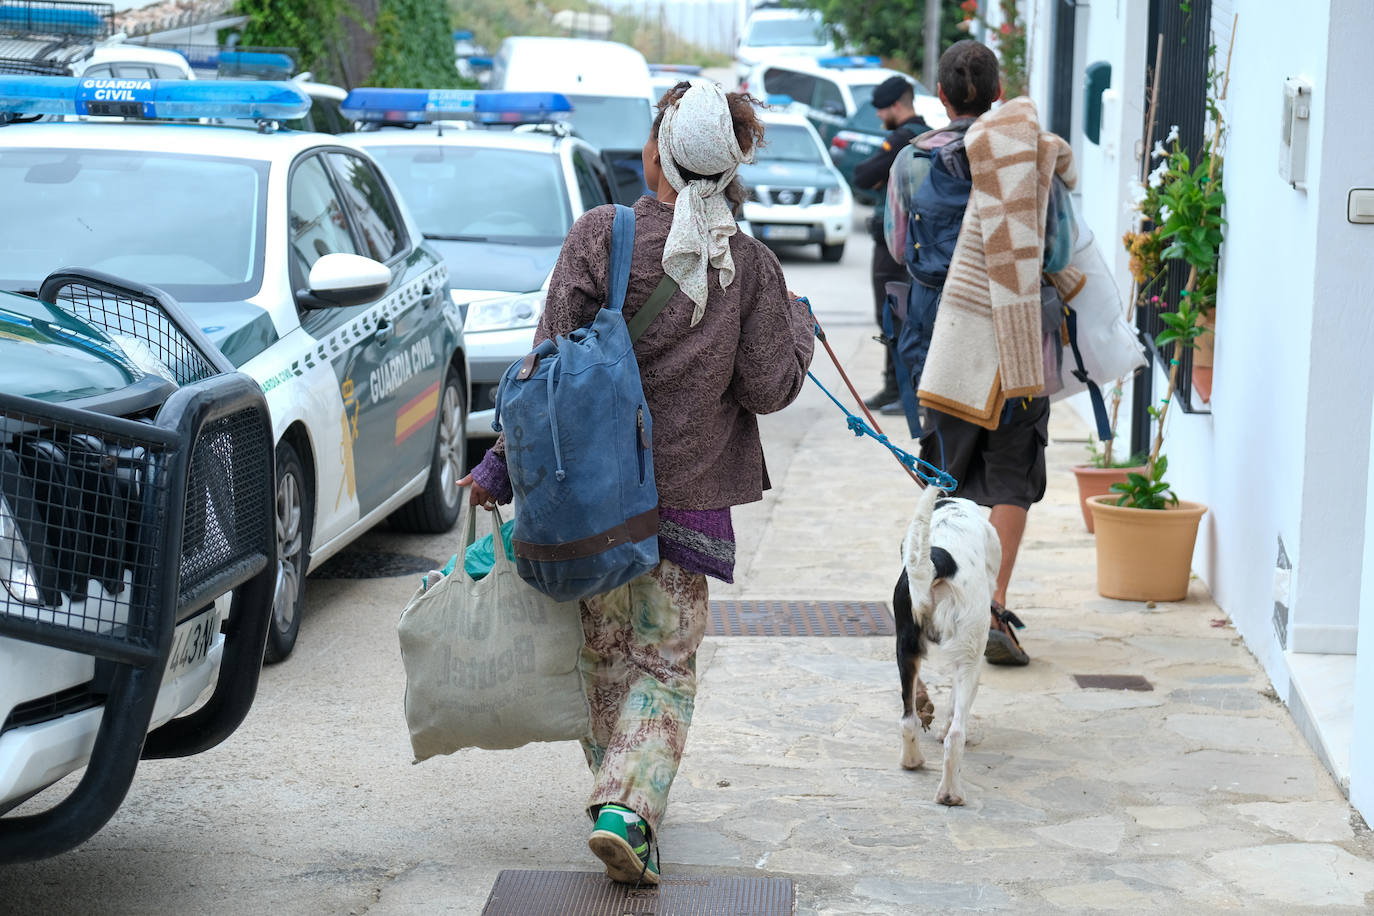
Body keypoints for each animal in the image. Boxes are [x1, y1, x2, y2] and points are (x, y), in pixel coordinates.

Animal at [890, 483, 1000, 807]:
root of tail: (938, 563)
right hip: (971, 655)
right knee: (956, 735)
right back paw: (951, 794)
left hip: (906, 645)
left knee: (908, 719)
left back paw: (912, 761)